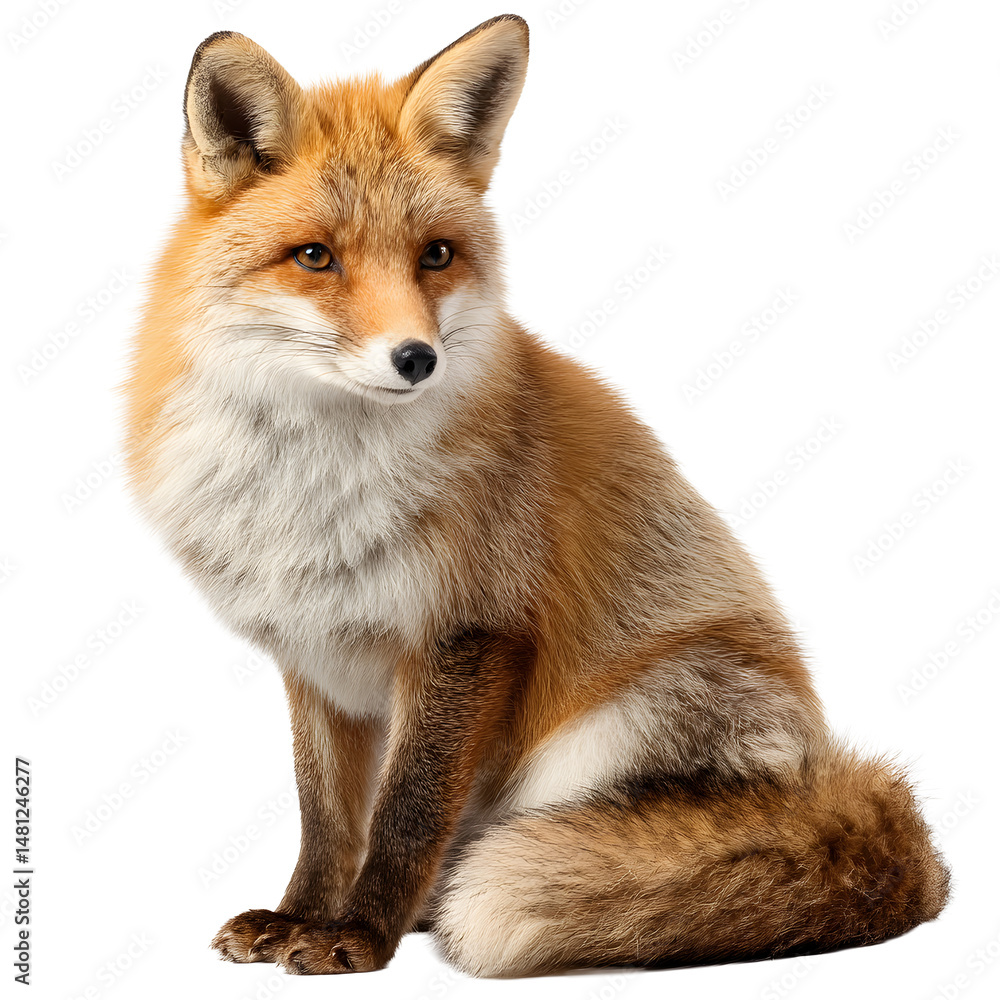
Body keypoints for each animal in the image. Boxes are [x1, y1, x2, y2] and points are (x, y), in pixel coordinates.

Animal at [122, 14, 949, 978]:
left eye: (437, 256)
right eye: (315, 258)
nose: (416, 358)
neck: (312, 488)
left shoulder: (467, 632)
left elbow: (405, 815)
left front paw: (356, 935)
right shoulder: (314, 655)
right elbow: (327, 819)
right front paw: (299, 915)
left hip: (612, 729)